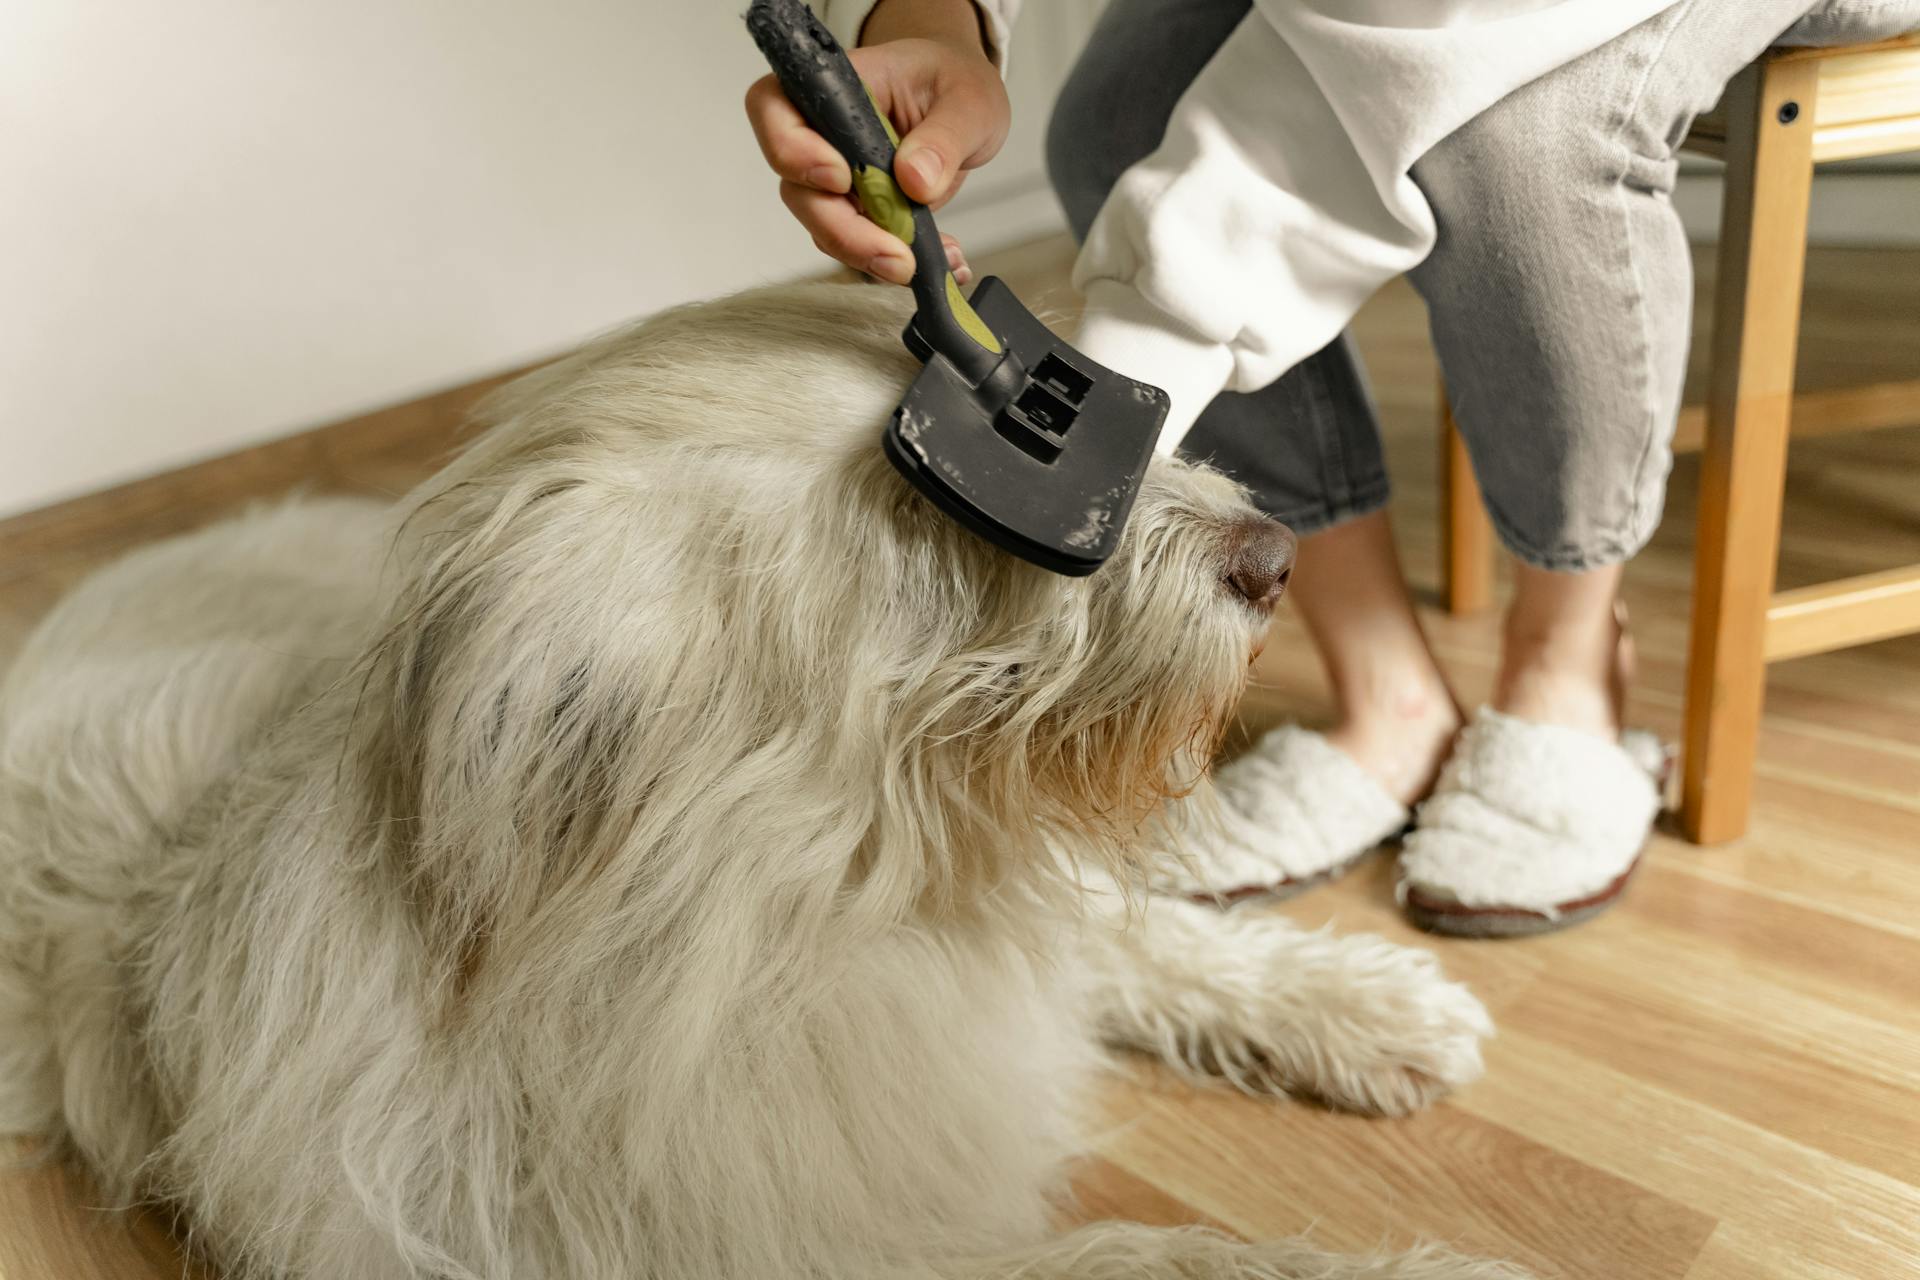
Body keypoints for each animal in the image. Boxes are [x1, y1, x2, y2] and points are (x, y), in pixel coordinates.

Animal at [3, 285, 1512, 1274]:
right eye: (919, 526)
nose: (1275, 556)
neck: (778, 903)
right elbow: (1163, 1254)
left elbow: (1138, 945)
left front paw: (1355, 1002)